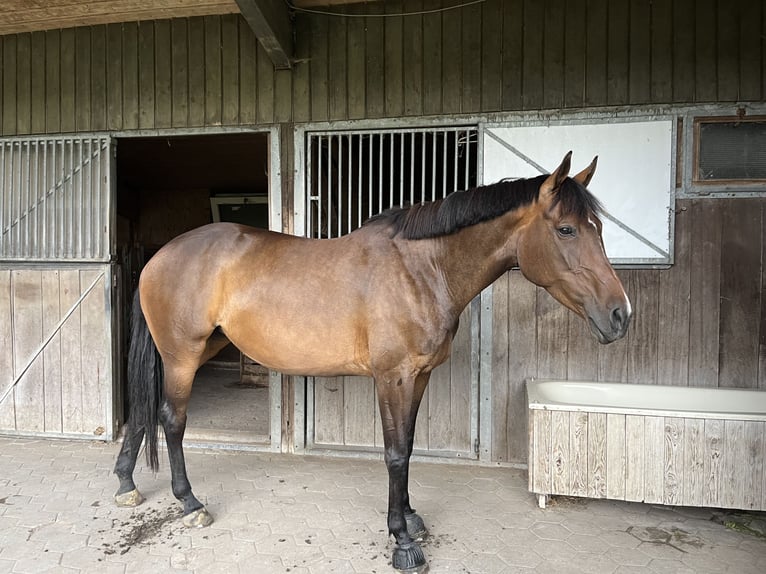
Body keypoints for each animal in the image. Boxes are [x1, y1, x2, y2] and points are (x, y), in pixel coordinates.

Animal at [113, 152, 631, 571]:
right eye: (566, 229)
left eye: (600, 229)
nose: (620, 315)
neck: (422, 269)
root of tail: (160, 256)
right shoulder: (392, 378)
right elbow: (394, 453)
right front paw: (402, 541)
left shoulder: (419, 377)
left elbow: (410, 444)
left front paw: (412, 517)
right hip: (182, 355)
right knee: (171, 419)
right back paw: (189, 502)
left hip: (199, 349)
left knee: (142, 415)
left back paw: (125, 484)